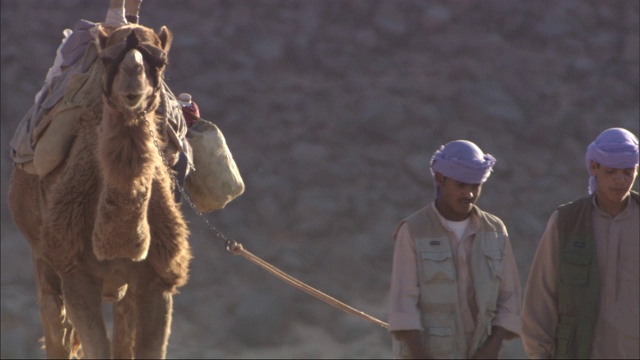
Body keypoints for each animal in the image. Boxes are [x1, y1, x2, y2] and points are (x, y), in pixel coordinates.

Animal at [8, 23, 192, 358]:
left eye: (160, 60)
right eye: (106, 59)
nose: (133, 71)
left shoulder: (158, 279)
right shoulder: (75, 273)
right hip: (41, 253)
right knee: (54, 324)